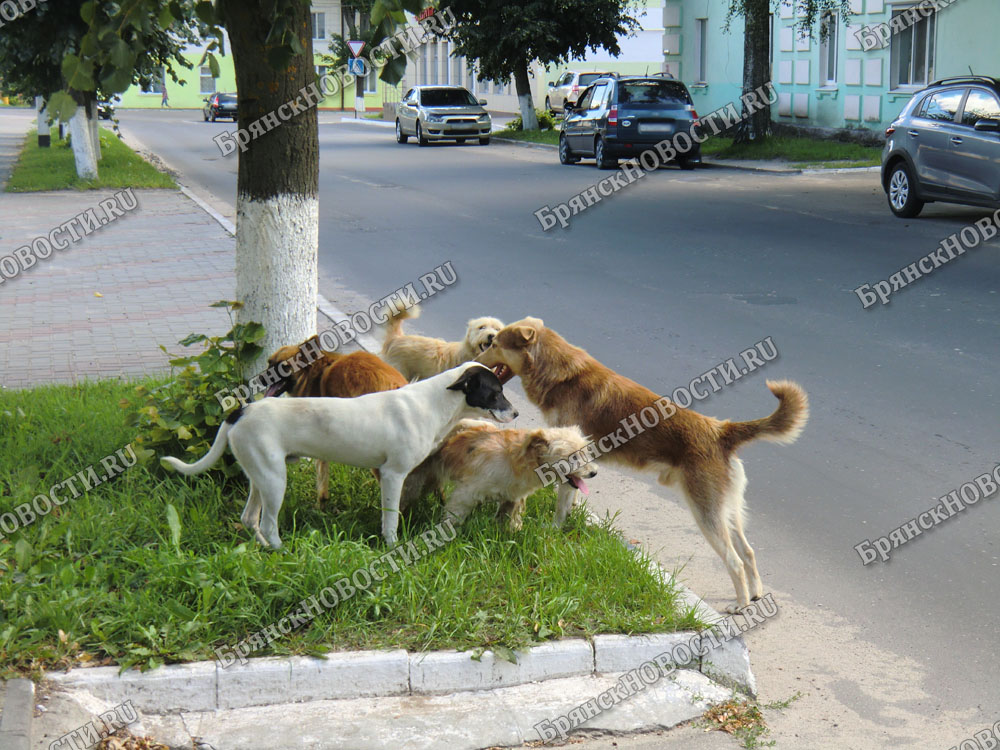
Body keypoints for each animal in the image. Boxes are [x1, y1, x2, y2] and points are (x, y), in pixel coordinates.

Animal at [268, 340, 408, 506]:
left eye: (284, 367)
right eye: (269, 363)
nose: (262, 378)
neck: (312, 373)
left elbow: (321, 473)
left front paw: (321, 503)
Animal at [402, 420, 596, 532]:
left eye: (586, 452)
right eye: (573, 457)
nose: (594, 472)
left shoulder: (512, 498)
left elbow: (507, 518)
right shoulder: (466, 493)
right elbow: (454, 516)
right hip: (416, 479)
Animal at [478, 318, 812, 612]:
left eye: (493, 343)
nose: (477, 361)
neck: (562, 374)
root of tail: (721, 430)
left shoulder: (570, 461)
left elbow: (561, 506)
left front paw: (555, 528)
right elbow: (570, 500)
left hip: (706, 513)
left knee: (735, 560)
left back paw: (741, 605)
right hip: (727, 510)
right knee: (749, 552)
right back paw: (755, 594)